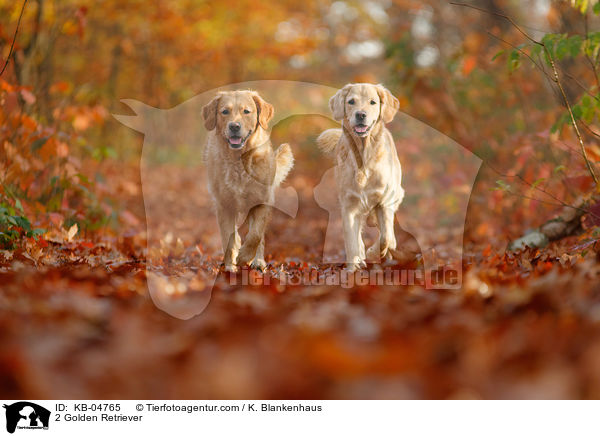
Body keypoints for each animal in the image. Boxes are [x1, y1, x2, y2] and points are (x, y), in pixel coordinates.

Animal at [203, 90, 294, 270]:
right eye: (224, 111)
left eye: (246, 111)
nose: (234, 126)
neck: (239, 161)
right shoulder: (224, 205)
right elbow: (228, 238)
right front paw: (230, 266)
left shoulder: (262, 201)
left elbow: (256, 235)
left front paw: (245, 257)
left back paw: (258, 262)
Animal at [316, 83, 406, 270]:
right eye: (351, 101)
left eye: (373, 102)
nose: (361, 115)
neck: (363, 157)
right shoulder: (348, 206)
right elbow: (351, 242)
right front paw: (352, 270)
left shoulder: (384, 201)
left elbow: (385, 237)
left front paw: (374, 252)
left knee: (390, 236)